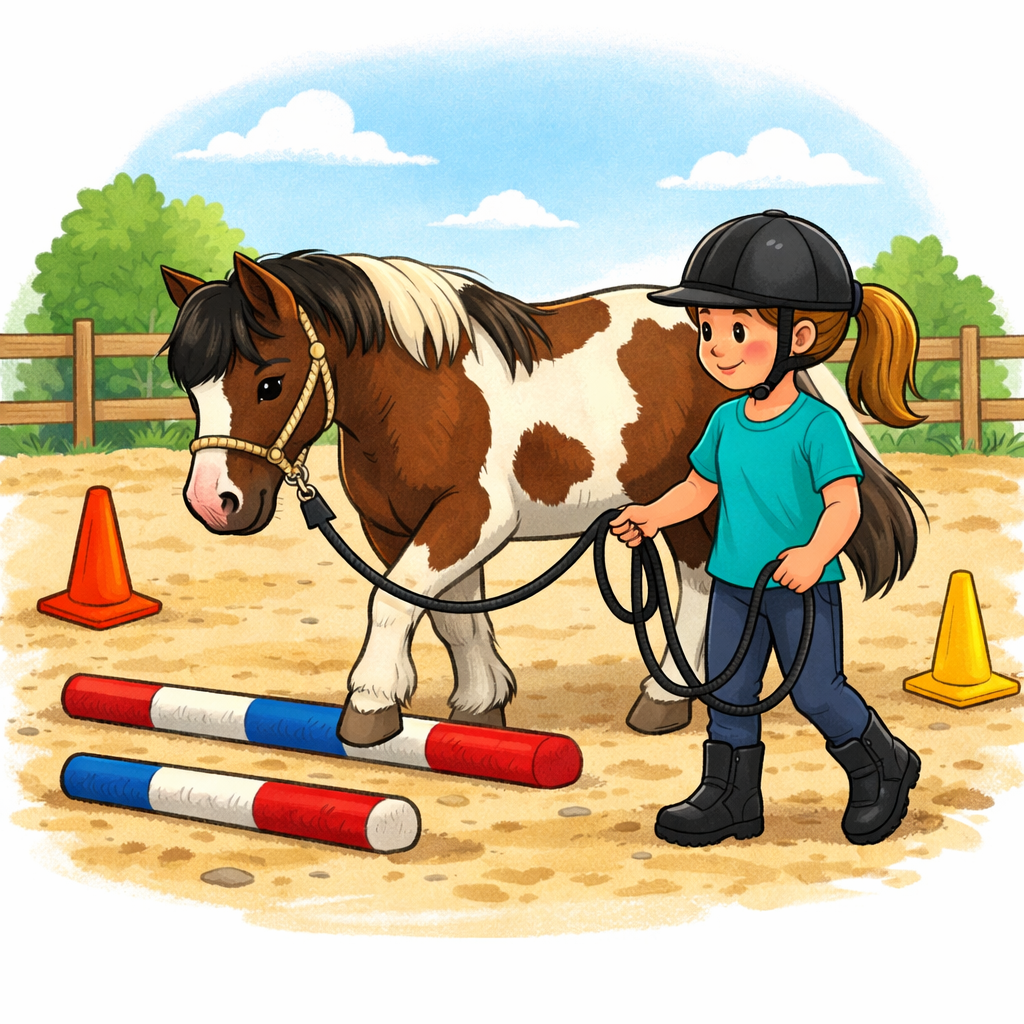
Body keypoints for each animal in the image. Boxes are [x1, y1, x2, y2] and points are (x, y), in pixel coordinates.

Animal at [160, 250, 918, 747]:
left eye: (269, 382)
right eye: (191, 387)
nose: (213, 503)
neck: (420, 389)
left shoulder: (471, 517)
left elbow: (393, 603)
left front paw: (370, 706)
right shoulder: (398, 526)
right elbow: (451, 616)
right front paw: (481, 704)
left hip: (697, 500)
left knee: (701, 583)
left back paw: (663, 699)